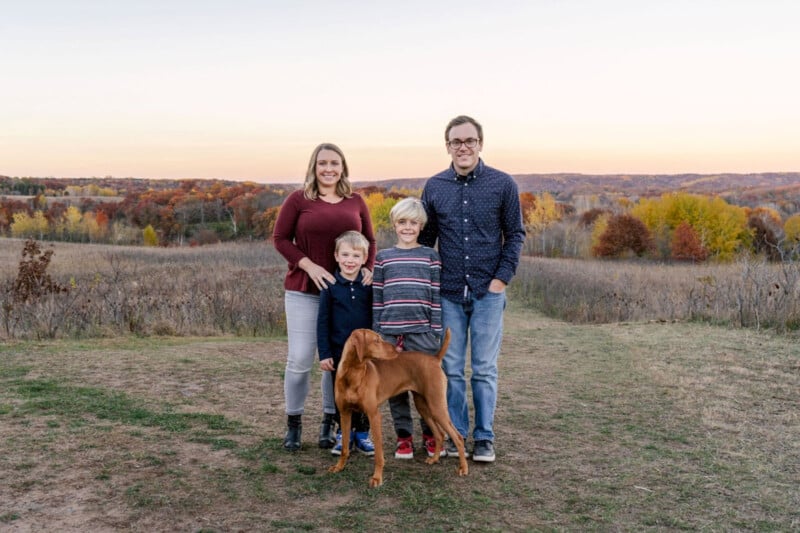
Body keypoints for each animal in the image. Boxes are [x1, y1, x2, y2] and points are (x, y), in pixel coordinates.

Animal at [328, 326, 468, 484]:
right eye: (376, 340)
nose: (396, 349)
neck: (353, 373)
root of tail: (435, 358)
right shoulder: (345, 413)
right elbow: (345, 447)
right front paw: (339, 467)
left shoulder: (374, 415)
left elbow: (379, 454)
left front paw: (377, 477)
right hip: (423, 406)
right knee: (439, 434)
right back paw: (434, 459)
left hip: (437, 406)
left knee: (457, 437)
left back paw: (463, 468)